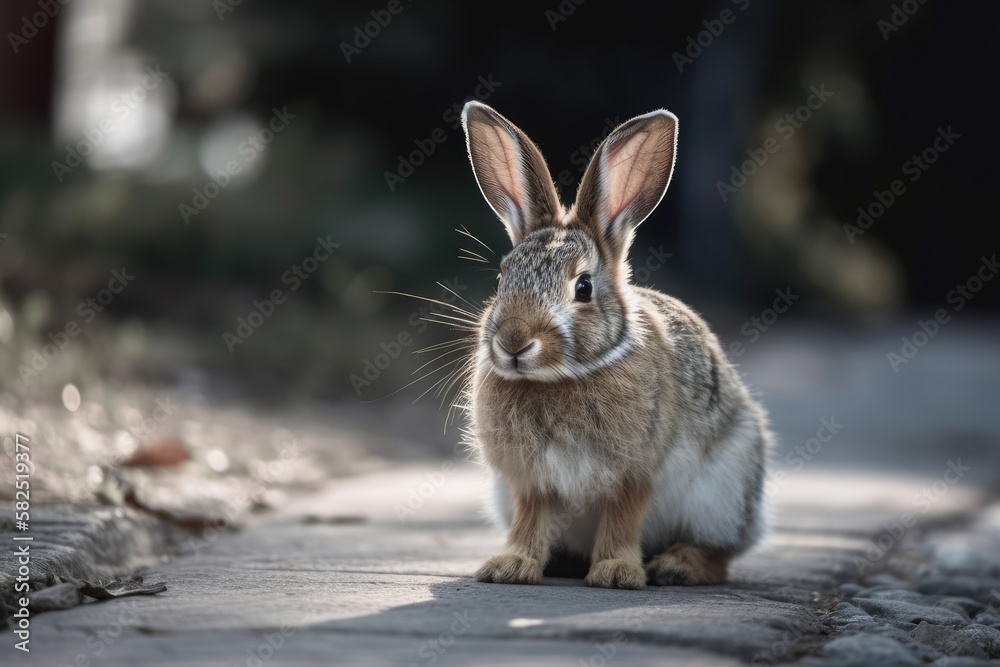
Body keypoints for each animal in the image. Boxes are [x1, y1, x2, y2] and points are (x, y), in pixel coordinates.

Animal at [458, 101, 771, 590]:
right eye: (500, 279)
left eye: (583, 288)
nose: (513, 342)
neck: (561, 378)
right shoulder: (530, 481)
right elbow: (531, 518)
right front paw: (511, 566)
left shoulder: (635, 474)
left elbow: (622, 518)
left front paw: (616, 573)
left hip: (725, 491)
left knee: (721, 553)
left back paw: (677, 566)